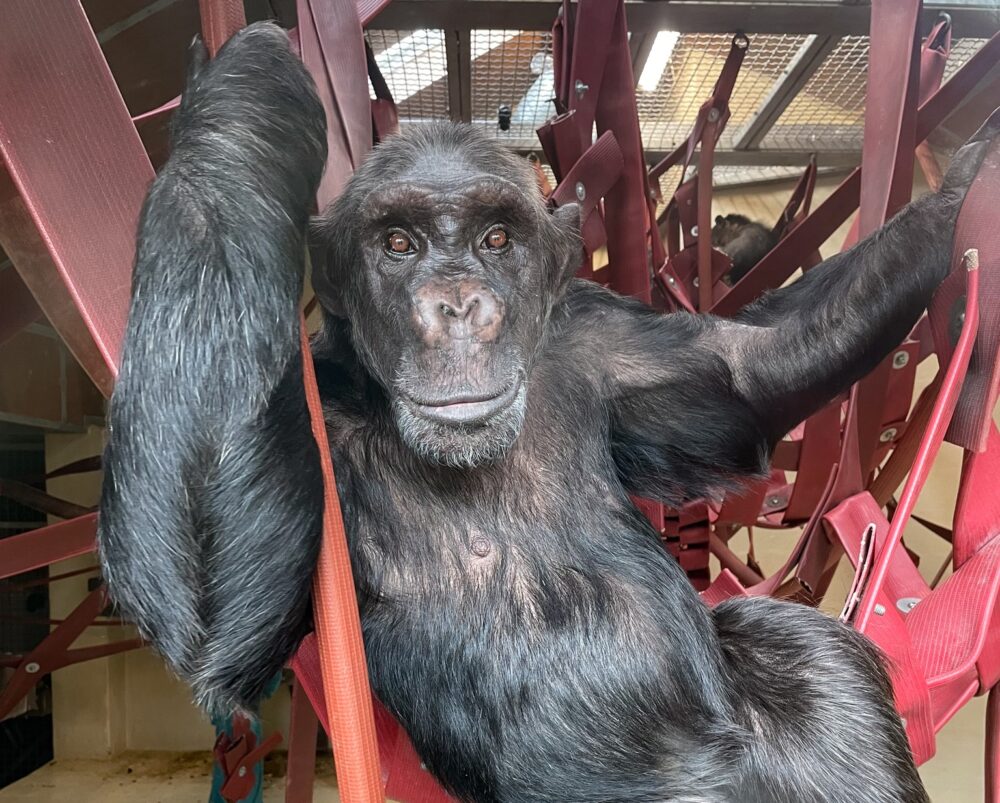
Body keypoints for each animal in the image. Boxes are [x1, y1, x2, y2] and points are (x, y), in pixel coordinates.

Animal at [97, 23, 996, 803]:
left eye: (495, 238)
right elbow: (210, 616)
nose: (459, 304)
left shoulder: (602, 343)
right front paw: (248, 84)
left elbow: (751, 367)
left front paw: (969, 173)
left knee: (811, 655)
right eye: (399, 243)